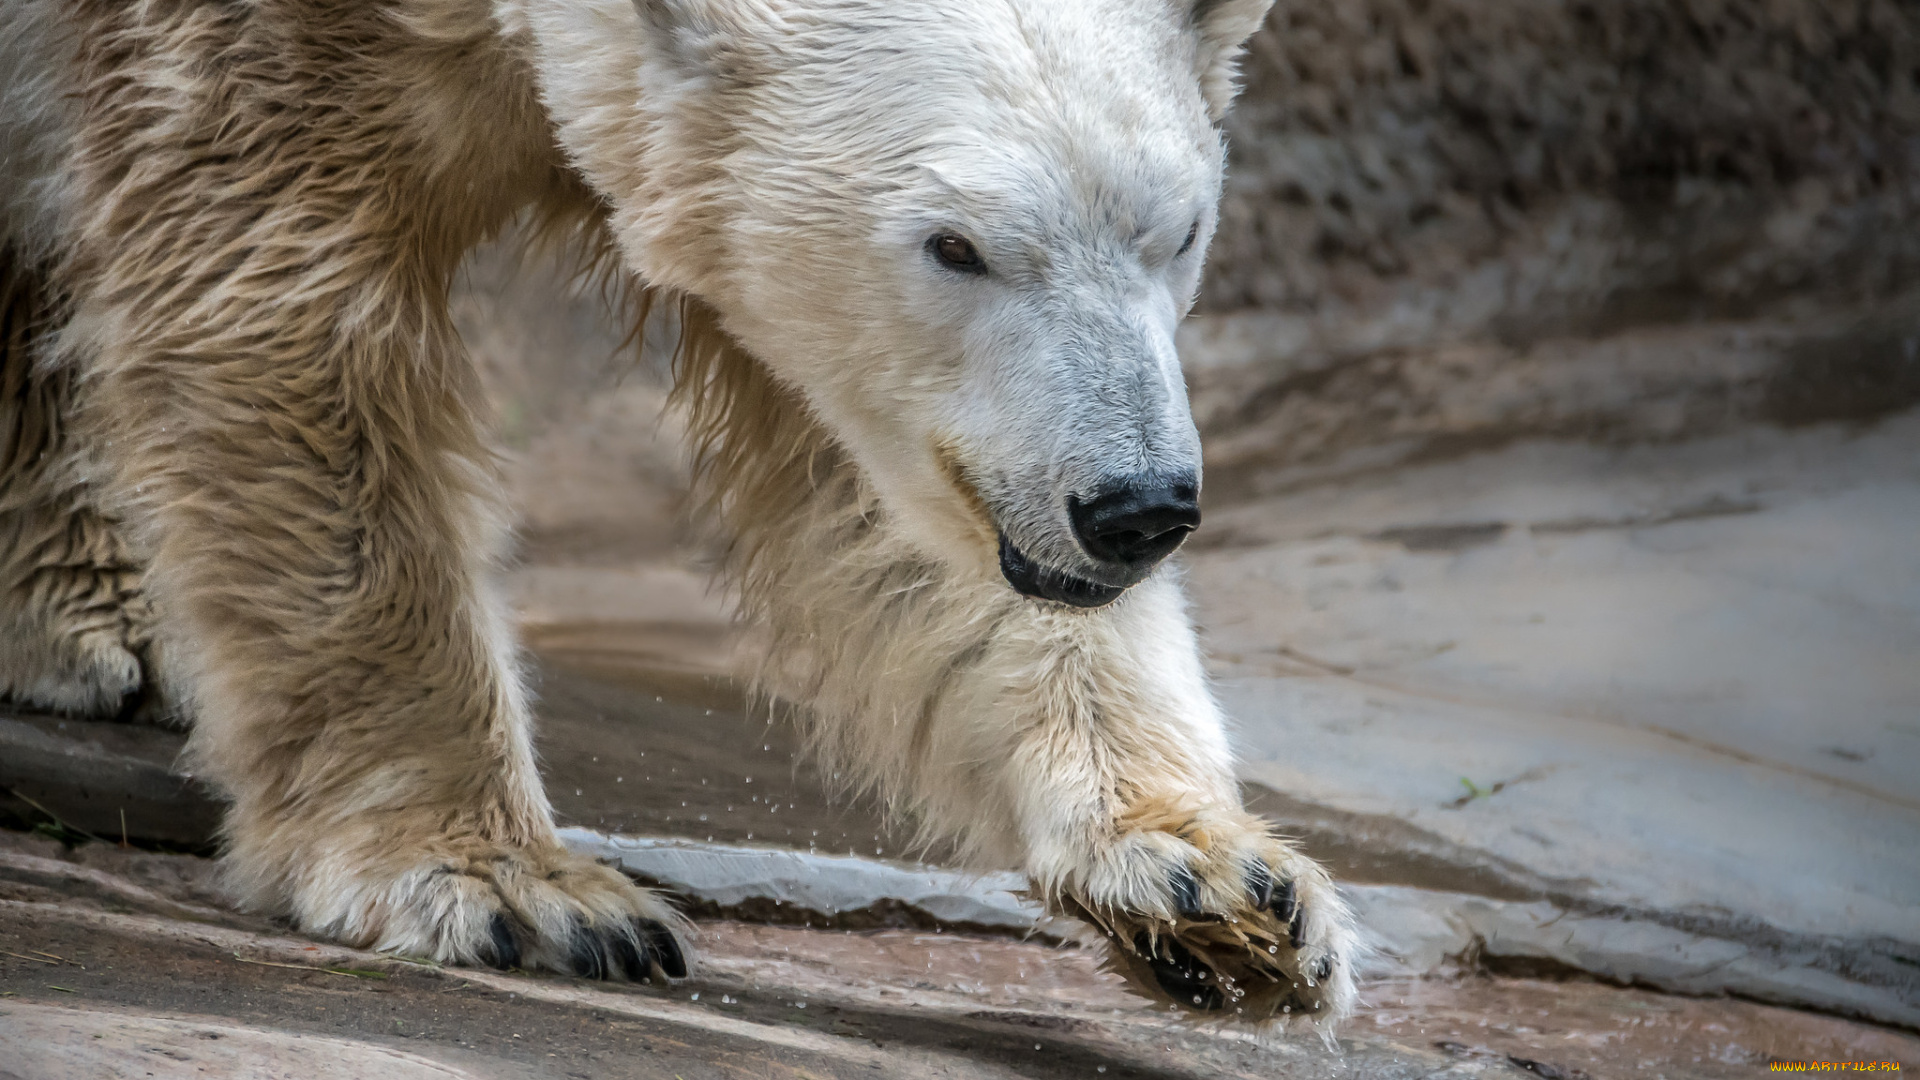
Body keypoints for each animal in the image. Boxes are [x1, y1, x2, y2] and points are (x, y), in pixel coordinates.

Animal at [0, 0, 1359, 1014]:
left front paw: (1214, 882)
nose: (1135, 506)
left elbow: (885, 479)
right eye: (955, 246)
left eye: (1179, 231)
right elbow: (285, 314)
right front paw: (509, 885)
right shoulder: (249, 61)